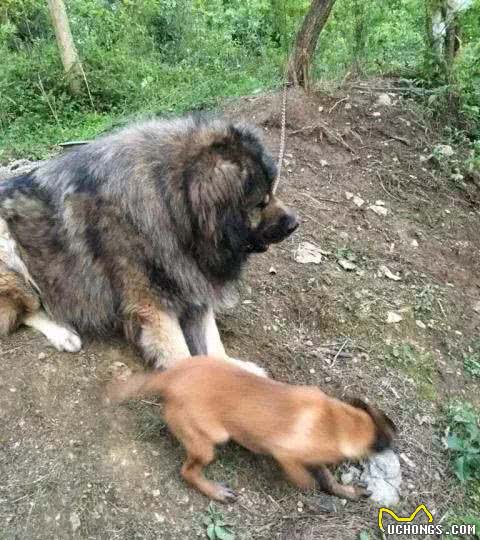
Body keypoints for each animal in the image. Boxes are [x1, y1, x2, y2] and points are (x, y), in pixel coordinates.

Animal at [0, 116, 298, 374]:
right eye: (260, 203)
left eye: (272, 191)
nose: (295, 223)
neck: (172, 207)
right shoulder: (153, 306)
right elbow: (181, 354)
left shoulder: (191, 279)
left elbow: (213, 343)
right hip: (9, 250)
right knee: (26, 309)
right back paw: (62, 333)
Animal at [107, 358, 396, 502]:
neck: (340, 422)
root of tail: (171, 378)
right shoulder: (288, 457)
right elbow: (309, 481)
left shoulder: (315, 458)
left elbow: (326, 479)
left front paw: (345, 491)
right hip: (211, 439)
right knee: (187, 472)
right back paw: (215, 491)